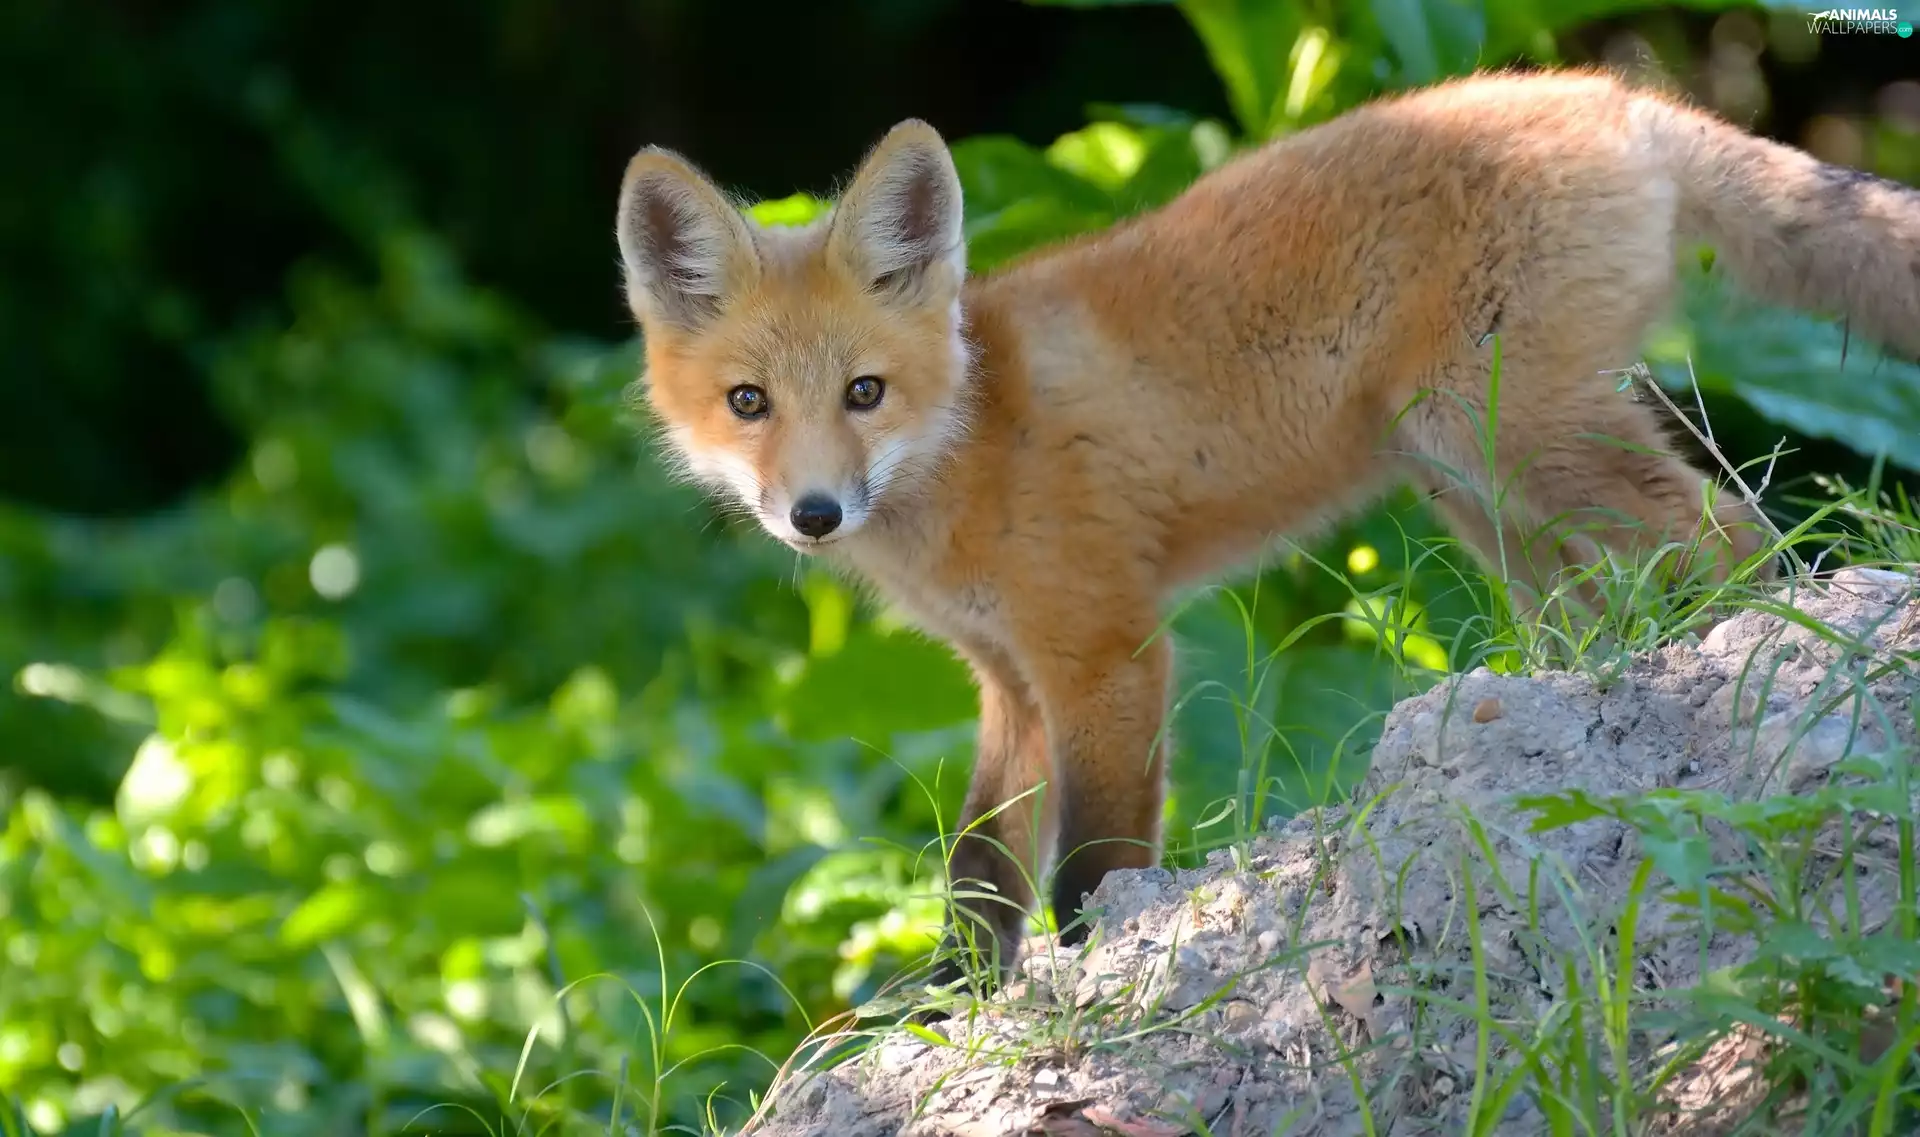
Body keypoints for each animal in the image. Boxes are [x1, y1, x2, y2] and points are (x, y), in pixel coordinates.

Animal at [612, 66, 1920, 993]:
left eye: (864, 393)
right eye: (749, 404)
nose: (814, 514)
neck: (975, 434)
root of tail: (1616, 94)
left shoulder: (1109, 653)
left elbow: (1091, 872)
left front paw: (1096, 980)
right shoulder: (1010, 684)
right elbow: (979, 881)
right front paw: (945, 1009)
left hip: (1514, 438)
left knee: (1736, 537)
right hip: (1477, 486)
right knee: (1622, 600)